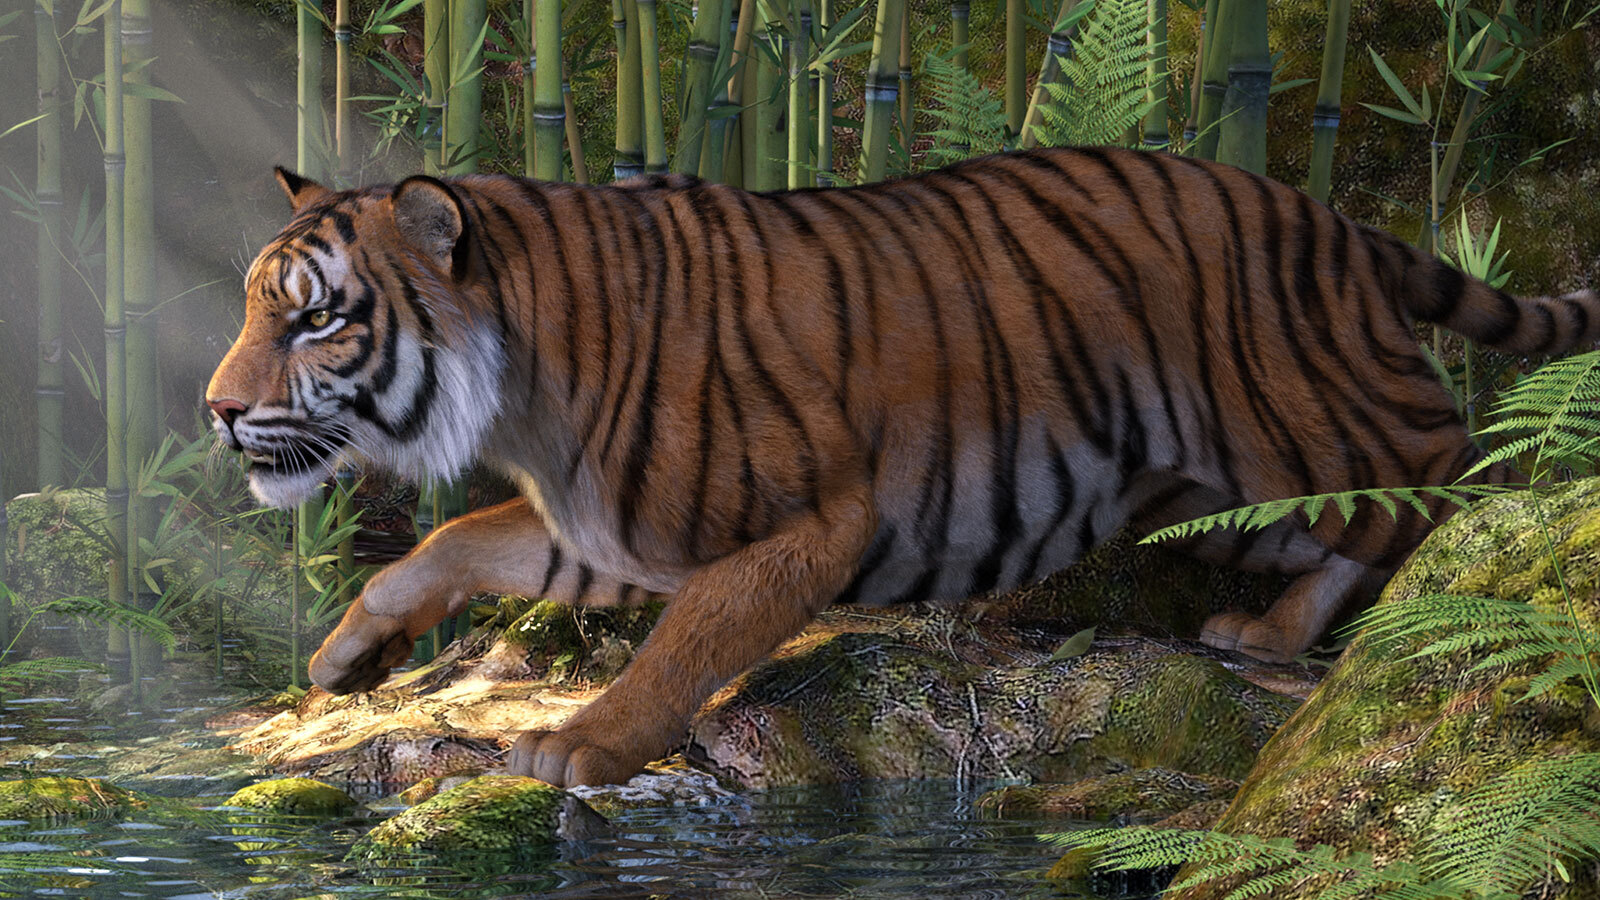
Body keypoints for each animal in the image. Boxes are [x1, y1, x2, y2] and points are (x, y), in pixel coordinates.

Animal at [206, 147, 1600, 787]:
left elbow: (689, 645)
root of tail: (1329, 218)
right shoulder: (606, 527)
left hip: (1298, 420)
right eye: (254, 304)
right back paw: (1267, 628)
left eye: (316, 319)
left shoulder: (806, 521)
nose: (217, 413)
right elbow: (456, 545)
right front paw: (347, 656)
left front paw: (583, 743)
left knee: (1450, 469)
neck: (524, 395)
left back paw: (1414, 593)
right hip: (1228, 487)